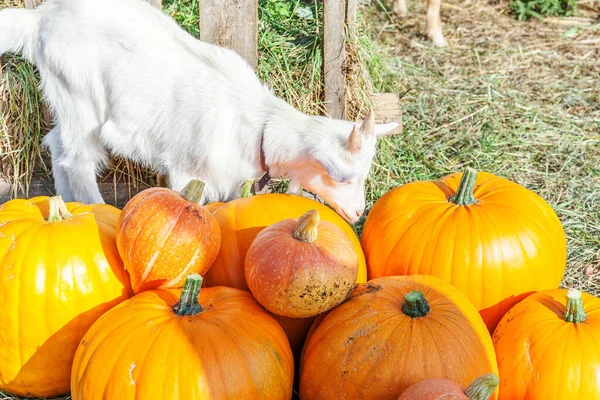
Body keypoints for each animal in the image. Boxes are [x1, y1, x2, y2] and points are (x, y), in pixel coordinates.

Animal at [2, 0, 400, 223]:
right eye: (344, 177)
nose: (358, 213)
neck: (258, 125)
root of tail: (40, 19)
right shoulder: (189, 173)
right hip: (80, 99)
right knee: (78, 159)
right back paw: (93, 208)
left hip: (66, 99)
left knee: (56, 144)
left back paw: (65, 203)